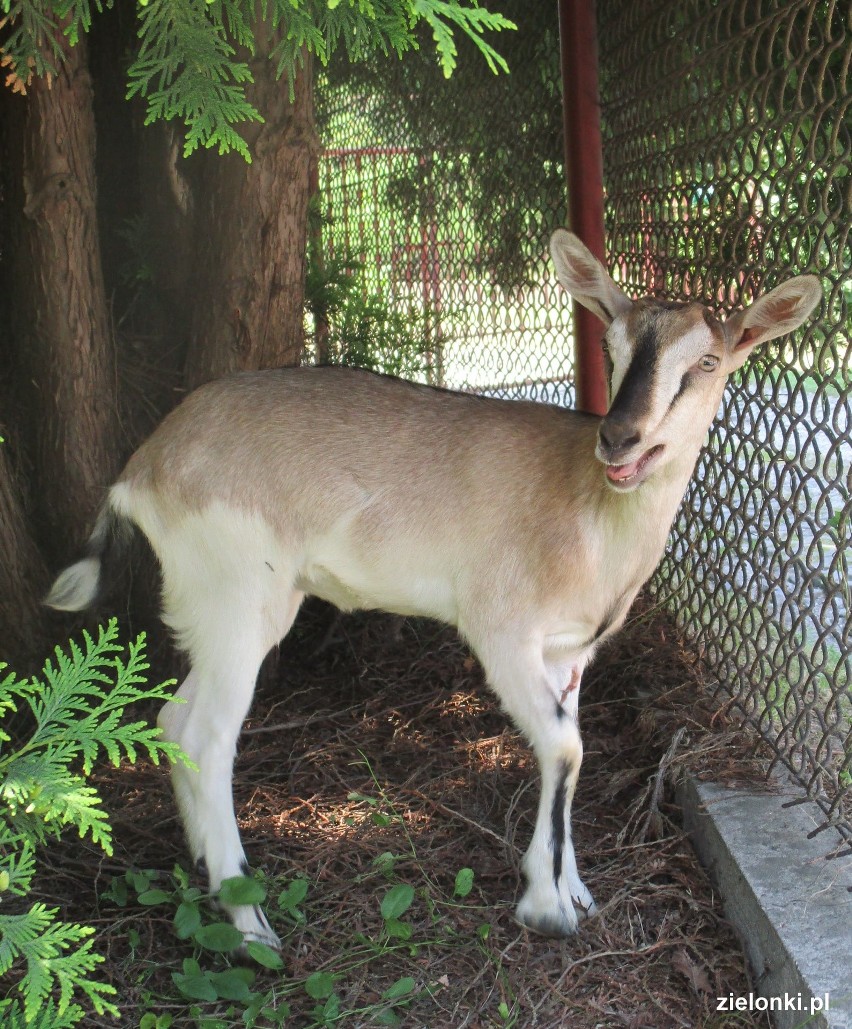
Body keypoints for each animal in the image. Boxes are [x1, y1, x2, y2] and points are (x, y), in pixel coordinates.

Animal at [45, 231, 819, 946]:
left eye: (709, 362)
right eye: (612, 343)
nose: (620, 439)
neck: (587, 508)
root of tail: (145, 465)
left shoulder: (568, 654)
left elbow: (572, 746)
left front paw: (576, 889)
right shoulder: (501, 629)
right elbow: (566, 748)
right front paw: (546, 908)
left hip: (221, 610)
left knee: (173, 722)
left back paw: (208, 873)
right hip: (238, 600)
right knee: (208, 735)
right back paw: (248, 920)